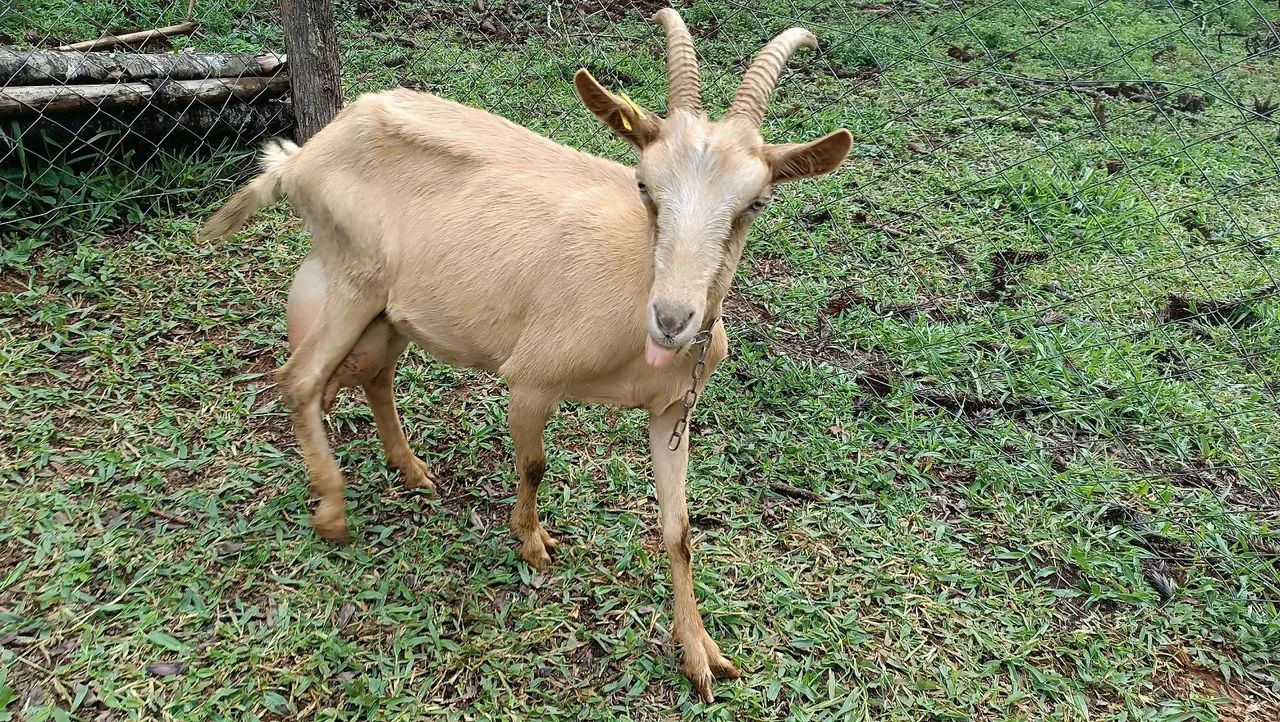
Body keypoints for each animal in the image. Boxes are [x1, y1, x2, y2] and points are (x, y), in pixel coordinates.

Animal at [200, 9, 850, 700]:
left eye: (755, 203)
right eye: (645, 186)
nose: (673, 320)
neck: (631, 291)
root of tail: (301, 157)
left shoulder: (672, 409)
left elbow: (678, 532)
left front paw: (702, 655)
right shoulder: (534, 378)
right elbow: (535, 463)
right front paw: (533, 542)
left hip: (391, 308)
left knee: (374, 375)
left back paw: (411, 470)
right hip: (355, 280)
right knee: (299, 377)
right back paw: (331, 511)